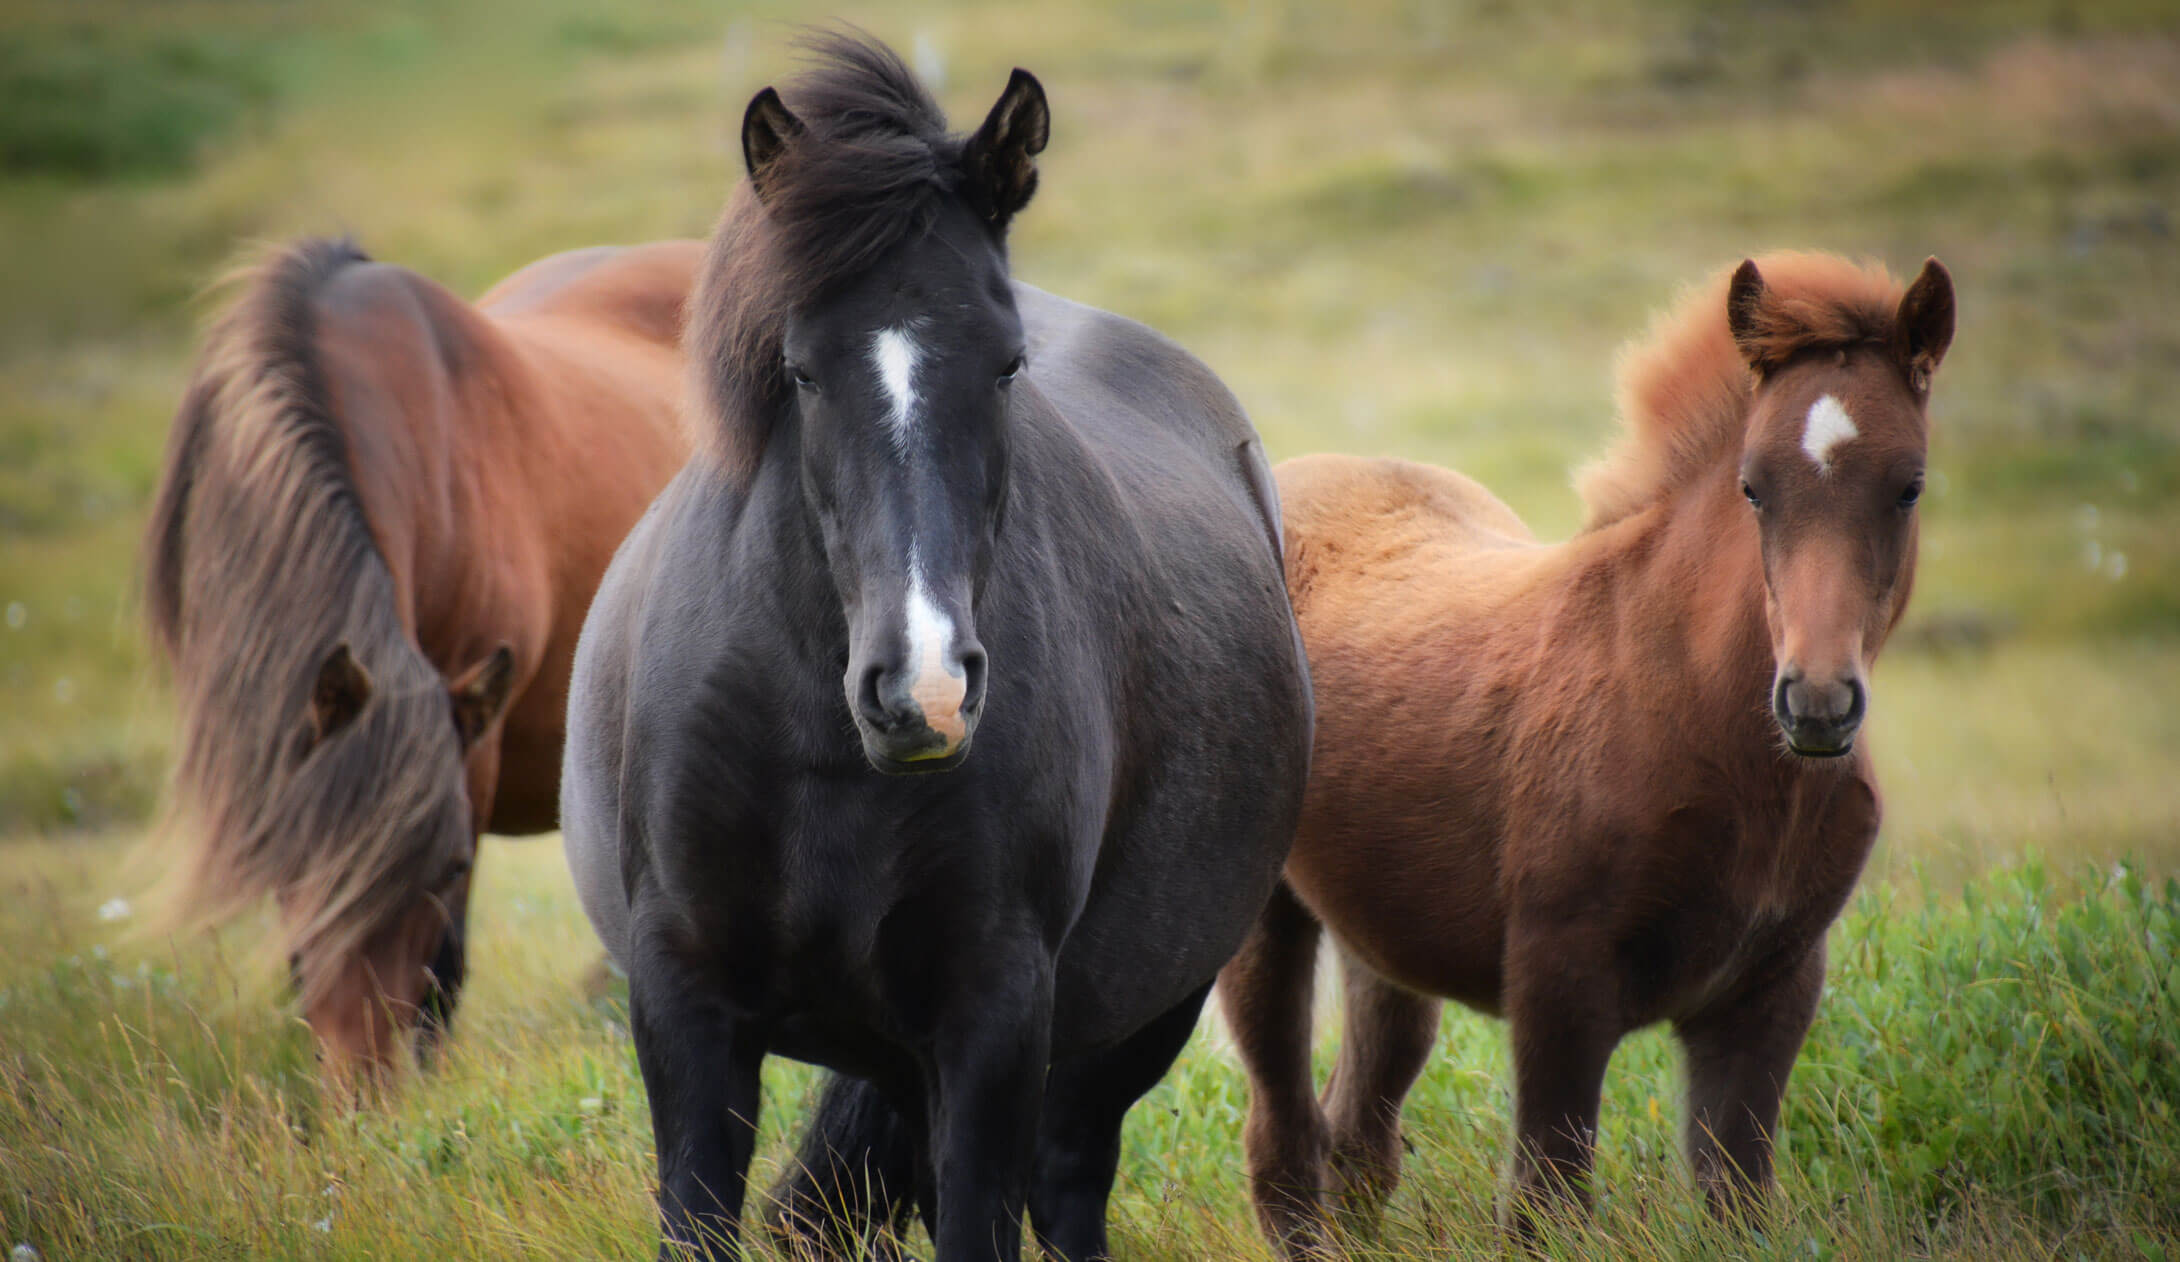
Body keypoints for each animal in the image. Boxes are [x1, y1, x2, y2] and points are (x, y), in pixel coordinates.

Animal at [566, 34, 1308, 1255]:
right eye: (800, 370)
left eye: (1005, 365)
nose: (924, 691)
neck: (817, 749)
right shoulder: (685, 1004)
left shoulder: (993, 1017)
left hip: (1131, 1023)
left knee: (1067, 1182)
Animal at [1229, 249, 1962, 1255]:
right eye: (1753, 486)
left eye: (1909, 485)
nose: (1816, 703)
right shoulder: (1559, 982)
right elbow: (1546, 1200)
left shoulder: (1770, 992)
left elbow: (1735, 1198)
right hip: (1262, 920)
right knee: (1284, 1143)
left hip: (1380, 937)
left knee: (1360, 1132)